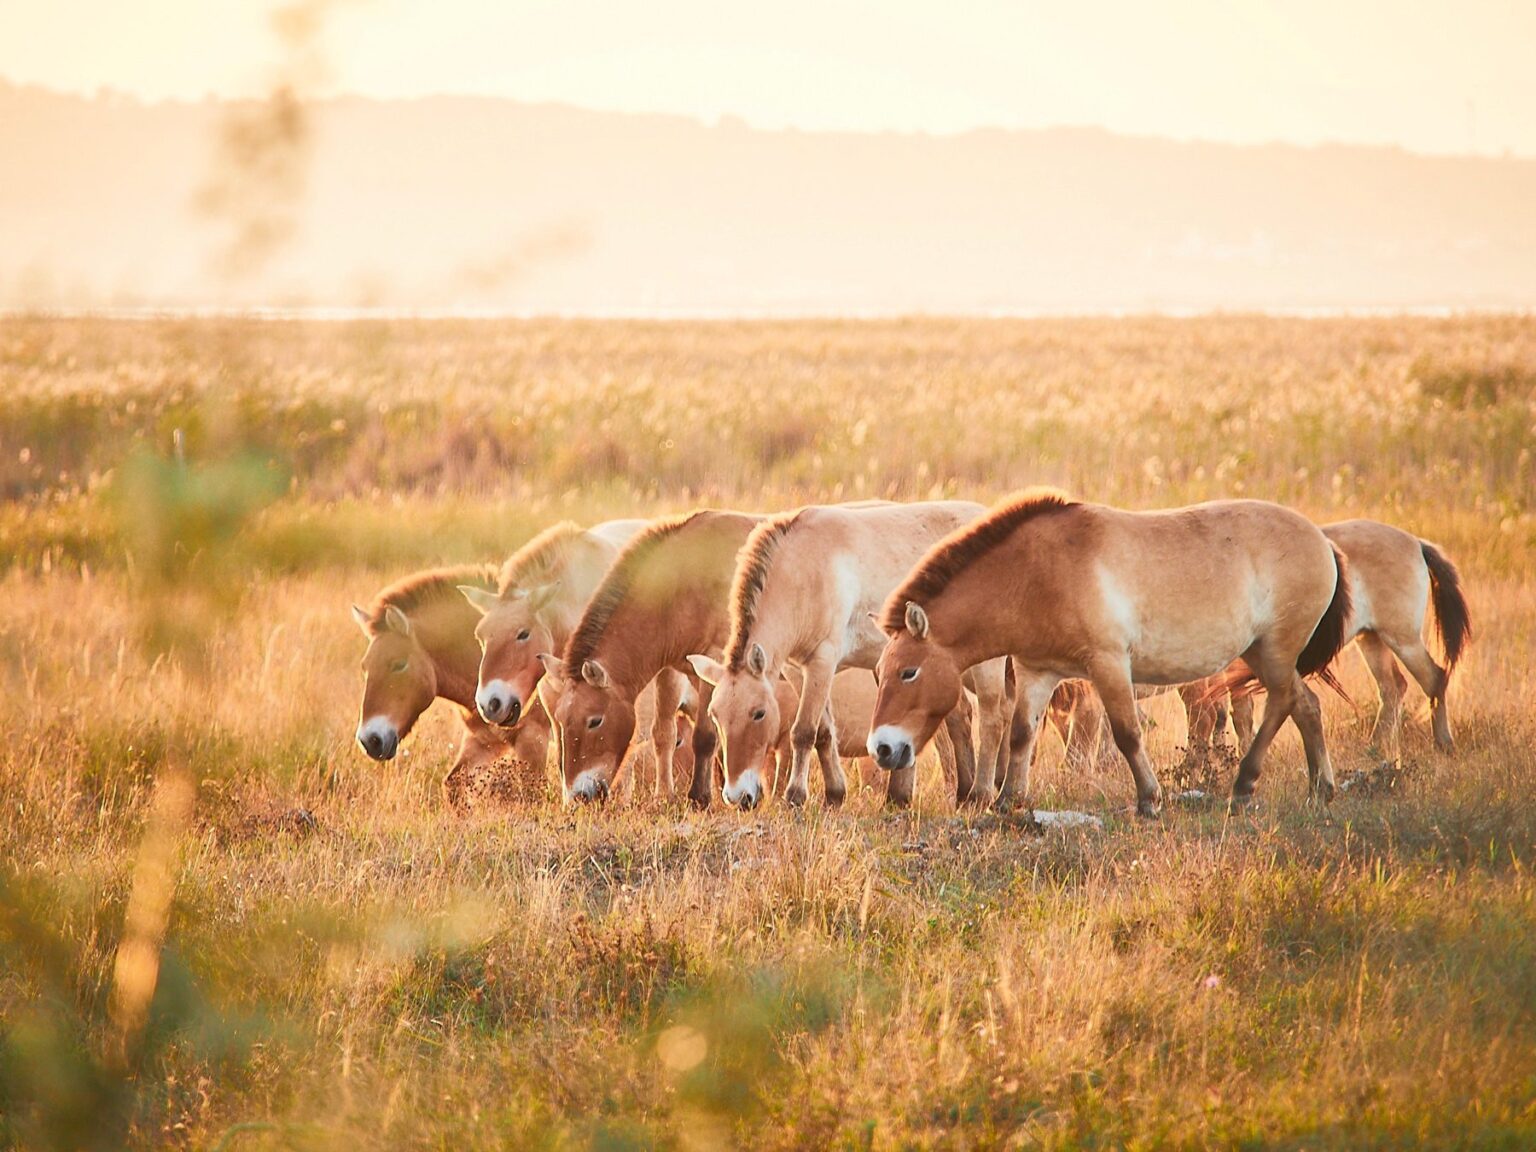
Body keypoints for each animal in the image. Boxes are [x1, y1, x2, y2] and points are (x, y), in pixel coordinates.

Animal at [351, 566, 551, 789]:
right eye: (364, 667)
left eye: (399, 664)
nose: (369, 741)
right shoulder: (484, 740)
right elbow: (452, 783)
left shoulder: (532, 738)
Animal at [536, 510, 763, 806]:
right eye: (561, 720)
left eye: (595, 721)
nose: (578, 796)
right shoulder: (672, 670)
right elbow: (666, 733)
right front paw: (669, 795)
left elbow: (705, 735)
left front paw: (700, 798)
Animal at [687, 501, 1012, 810]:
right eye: (715, 715)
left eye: (758, 713)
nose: (737, 796)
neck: (801, 569)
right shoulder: (797, 669)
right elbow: (823, 731)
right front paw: (834, 794)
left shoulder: (822, 661)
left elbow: (804, 731)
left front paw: (795, 797)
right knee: (960, 719)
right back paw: (962, 793)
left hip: (986, 664)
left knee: (992, 718)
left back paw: (982, 794)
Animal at [868, 491, 1352, 815]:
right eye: (880, 672)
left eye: (909, 672)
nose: (884, 749)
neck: (1037, 573)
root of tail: (1322, 541)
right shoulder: (1036, 671)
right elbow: (1022, 733)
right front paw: (1007, 802)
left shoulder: (1108, 664)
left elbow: (1126, 733)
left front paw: (1149, 800)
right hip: (1261, 654)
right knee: (1305, 704)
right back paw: (1319, 788)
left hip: (1275, 652)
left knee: (1283, 703)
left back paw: (1245, 783)